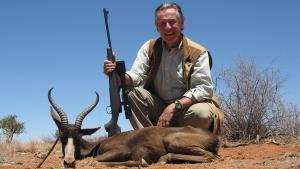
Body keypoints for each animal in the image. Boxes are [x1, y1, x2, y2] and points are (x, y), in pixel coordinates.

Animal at [48, 88, 220, 168]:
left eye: (78, 138)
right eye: (62, 137)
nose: (69, 161)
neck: (96, 146)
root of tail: (213, 137)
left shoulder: (120, 151)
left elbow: (96, 160)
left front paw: (142, 162)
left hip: (172, 141)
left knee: (210, 156)